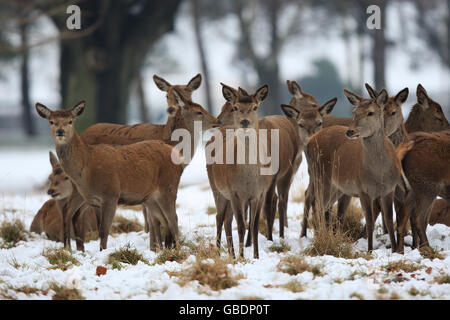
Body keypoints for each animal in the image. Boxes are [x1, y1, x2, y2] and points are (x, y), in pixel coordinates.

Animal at [34, 101, 186, 251]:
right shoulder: (93, 200)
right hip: (150, 196)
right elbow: (99, 228)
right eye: (51, 121)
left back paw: (177, 250)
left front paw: (103, 251)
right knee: (164, 219)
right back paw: (166, 248)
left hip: (169, 186)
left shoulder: (111, 194)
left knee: (173, 218)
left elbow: (104, 230)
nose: (60, 131)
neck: (87, 166)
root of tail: (178, 156)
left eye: (70, 121)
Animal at [206, 84, 272, 258]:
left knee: (227, 220)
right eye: (235, 107)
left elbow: (254, 225)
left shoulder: (258, 193)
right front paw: (242, 257)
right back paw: (220, 252)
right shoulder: (235, 192)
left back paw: (232, 254)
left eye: (255, 107)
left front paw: (256, 256)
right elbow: (241, 225)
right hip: (217, 188)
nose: (244, 122)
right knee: (219, 217)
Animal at [304, 88, 402, 252]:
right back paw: (320, 240)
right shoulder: (363, 189)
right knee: (317, 208)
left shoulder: (389, 189)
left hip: (337, 188)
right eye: (354, 111)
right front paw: (370, 250)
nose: (350, 131)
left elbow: (389, 220)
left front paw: (396, 250)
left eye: (370, 112)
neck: (380, 174)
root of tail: (309, 141)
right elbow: (369, 221)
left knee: (323, 208)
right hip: (321, 177)